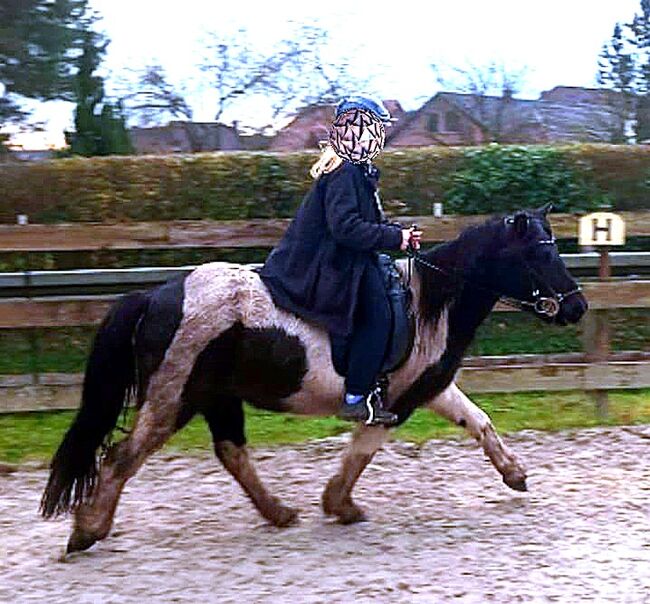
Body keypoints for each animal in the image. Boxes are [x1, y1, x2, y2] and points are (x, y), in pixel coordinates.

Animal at [41, 203, 587, 555]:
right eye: (540, 255)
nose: (577, 307)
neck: (430, 303)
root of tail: (156, 295)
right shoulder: (395, 401)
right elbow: (362, 451)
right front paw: (340, 505)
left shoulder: (429, 388)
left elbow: (479, 421)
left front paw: (514, 474)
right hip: (172, 398)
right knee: (122, 456)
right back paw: (88, 530)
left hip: (216, 397)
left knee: (231, 451)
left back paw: (278, 513)